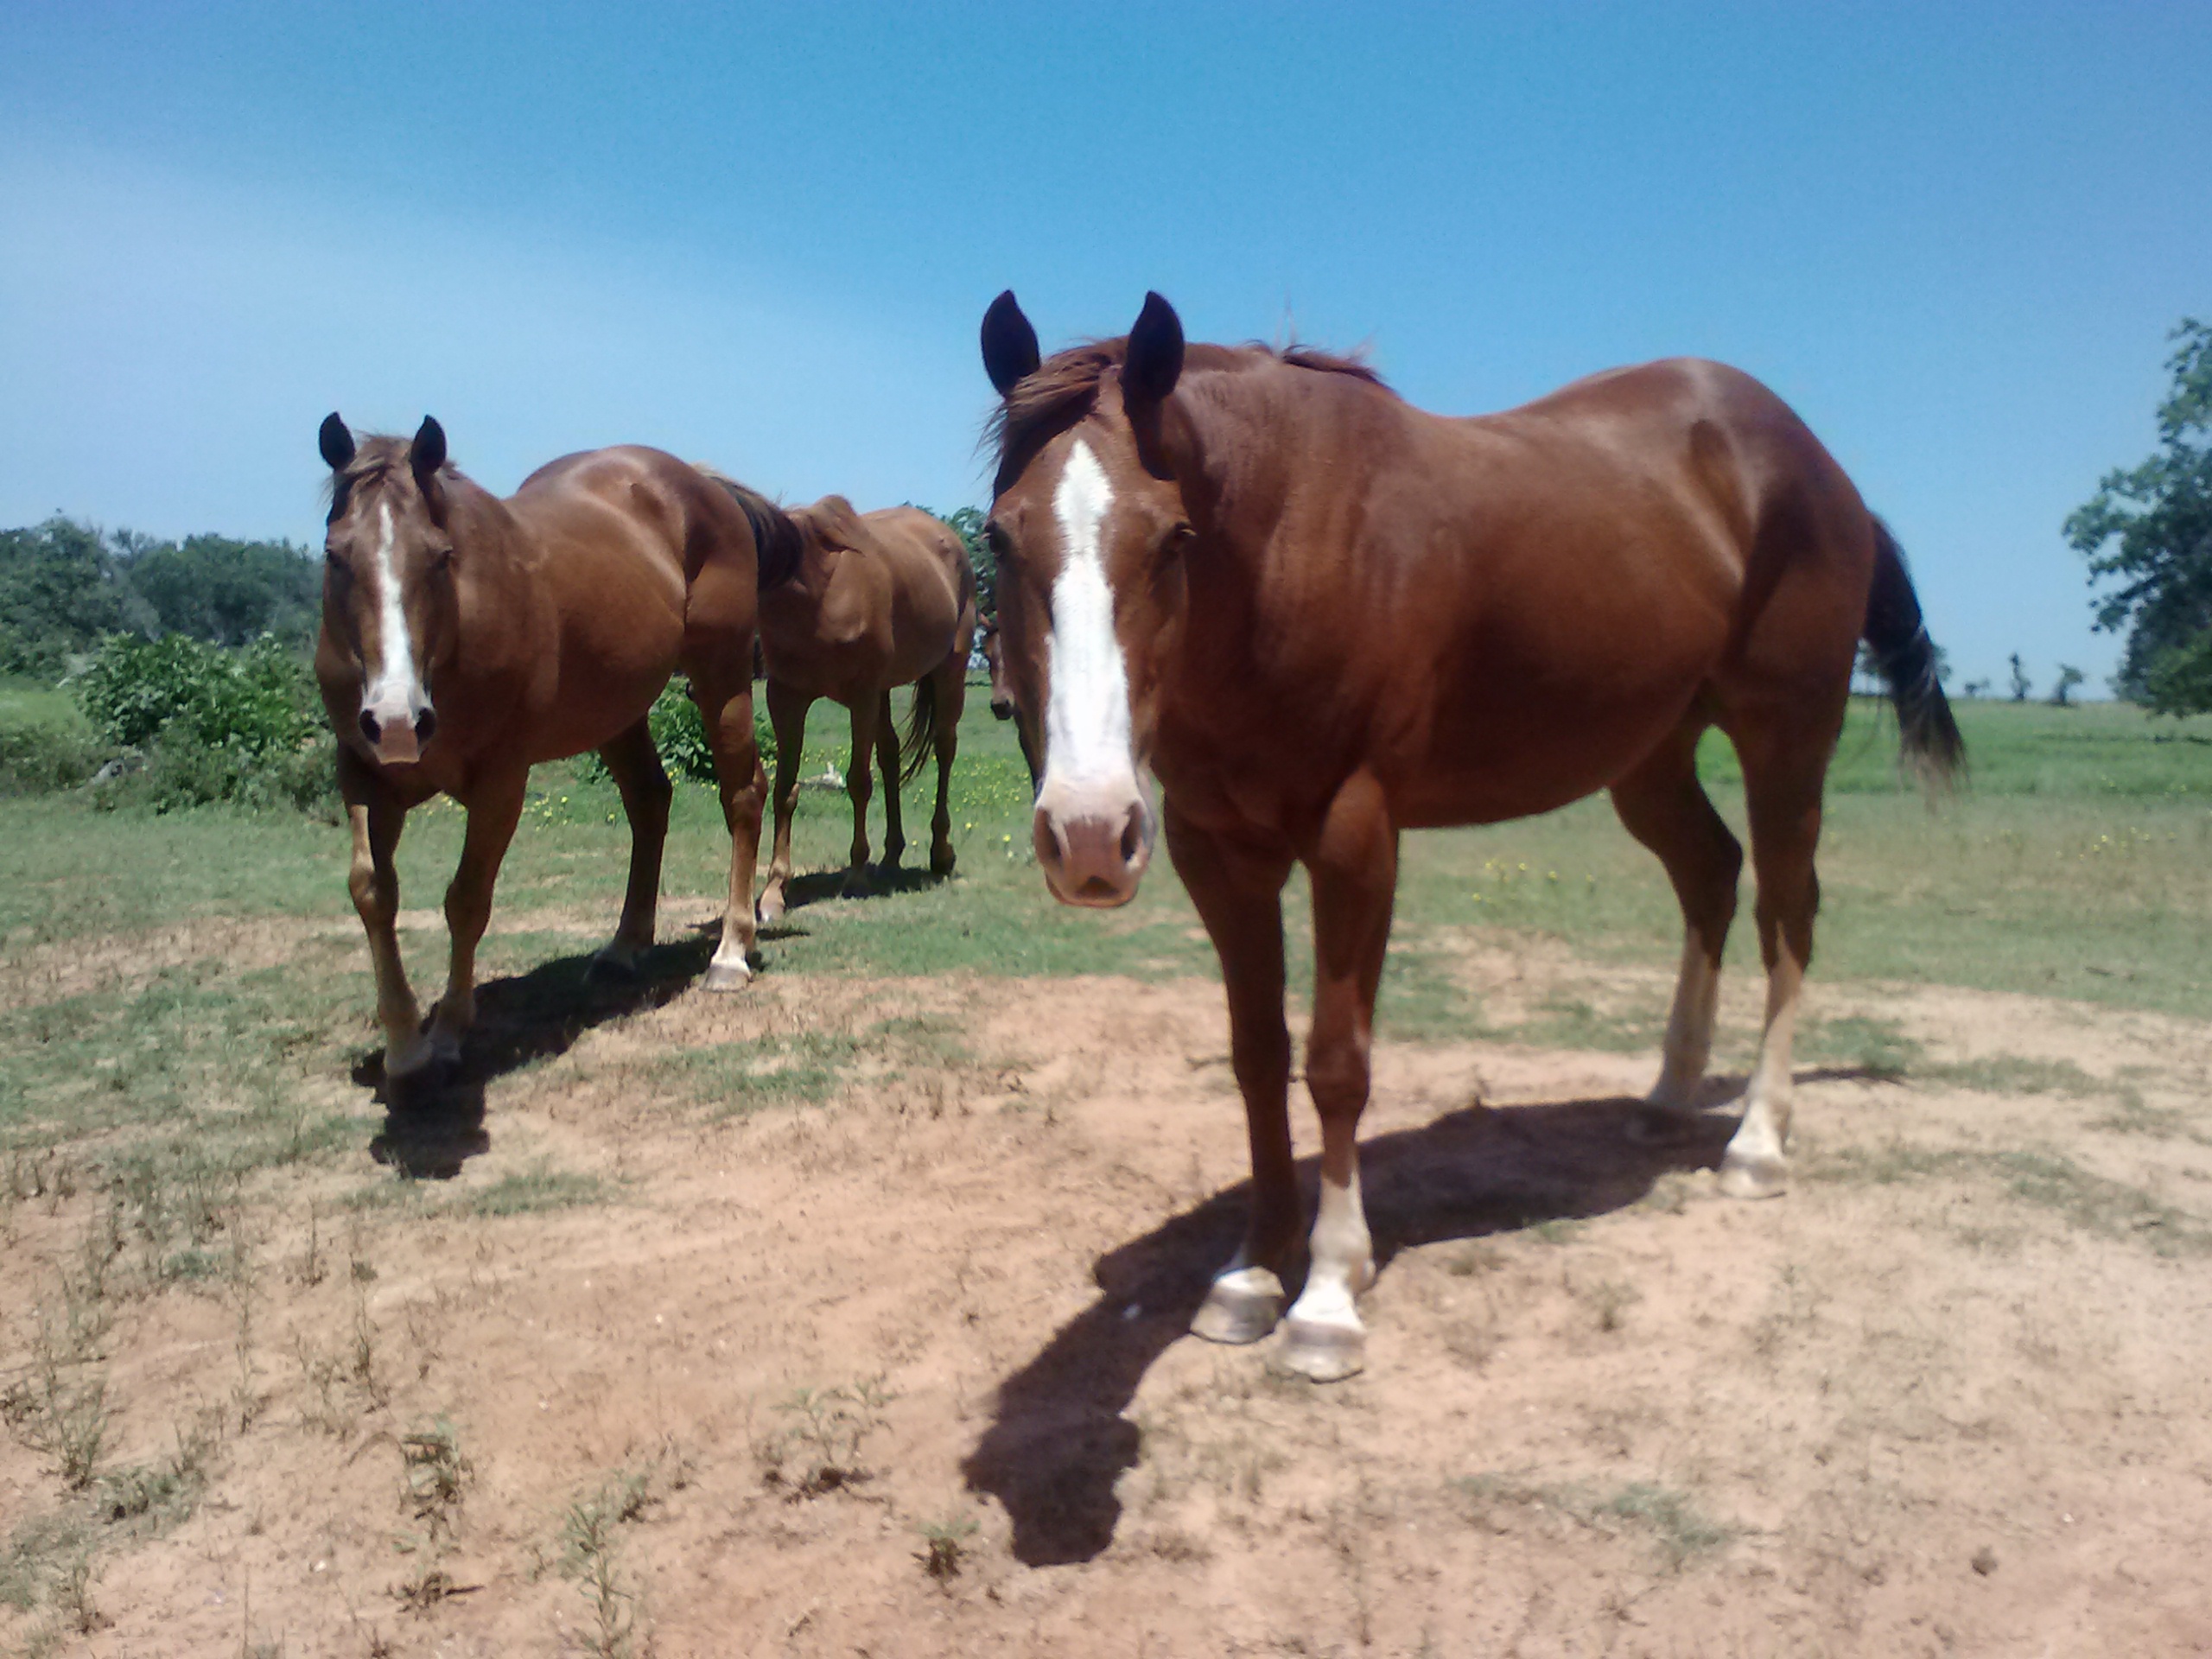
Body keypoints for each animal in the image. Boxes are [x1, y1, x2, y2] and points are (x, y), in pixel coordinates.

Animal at [314, 415, 797, 1093]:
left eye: (440, 557)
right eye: (335, 554)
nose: (397, 721)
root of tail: (700, 483)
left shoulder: (501, 782)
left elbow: (466, 899)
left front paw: (449, 1035)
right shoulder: (362, 775)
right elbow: (372, 891)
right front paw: (405, 1047)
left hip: (720, 677)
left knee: (744, 795)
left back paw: (730, 952)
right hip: (616, 710)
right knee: (650, 800)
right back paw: (623, 947)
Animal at [692, 473, 976, 924]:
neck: (817, 597)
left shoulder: (860, 697)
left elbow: (858, 782)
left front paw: (856, 875)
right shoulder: (786, 697)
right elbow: (785, 789)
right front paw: (773, 892)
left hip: (949, 670)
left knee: (944, 750)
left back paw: (940, 853)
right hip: (885, 691)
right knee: (890, 756)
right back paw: (891, 855)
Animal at [976, 291, 1963, 1381]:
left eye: (1172, 536)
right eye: (999, 539)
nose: (1089, 833)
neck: (1290, 546)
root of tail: (1821, 468)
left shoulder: (1356, 839)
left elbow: (1335, 1064)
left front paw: (1327, 1295)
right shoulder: (1215, 851)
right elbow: (1254, 1054)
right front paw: (1252, 1268)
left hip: (1785, 739)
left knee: (1786, 911)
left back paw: (1755, 1142)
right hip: (1649, 757)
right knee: (1711, 875)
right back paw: (1667, 1097)